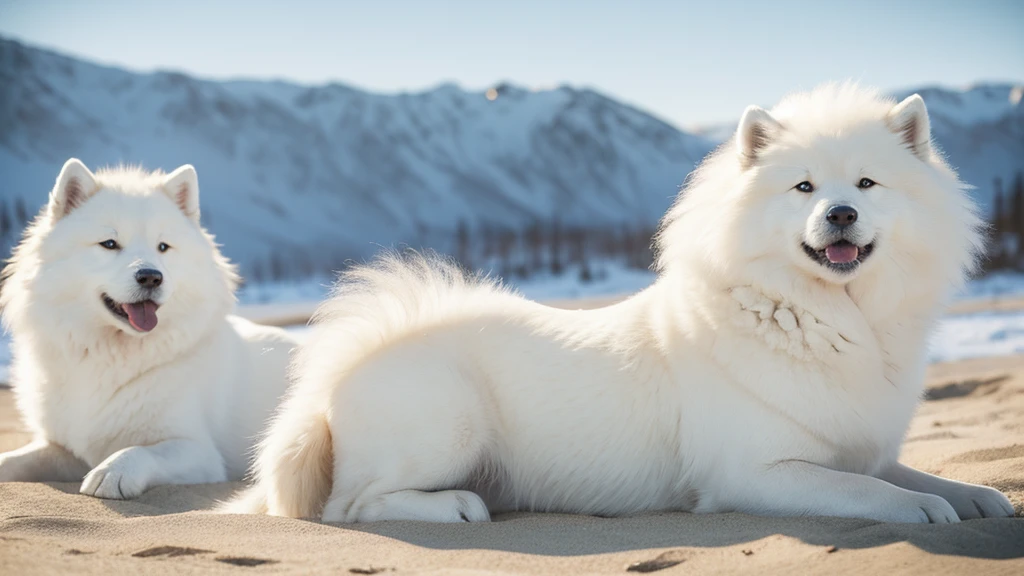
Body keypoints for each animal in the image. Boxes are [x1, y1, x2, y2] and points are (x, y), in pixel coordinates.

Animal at [0, 157, 299, 498]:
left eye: (163, 247)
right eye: (109, 244)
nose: (151, 277)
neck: (111, 355)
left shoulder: (199, 451)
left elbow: (142, 451)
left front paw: (113, 472)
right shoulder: (66, 449)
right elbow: (15, 459)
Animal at [226, 84, 1015, 520]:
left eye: (867, 184)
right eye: (804, 188)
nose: (841, 214)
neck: (825, 313)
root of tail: (330, 382)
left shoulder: (861, 448)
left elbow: (906, 475)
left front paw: (980, 496)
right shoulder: (758, 472)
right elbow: (875, 495)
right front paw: (927, 509)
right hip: (447, 423)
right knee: (348, 505)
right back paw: (457, 507)